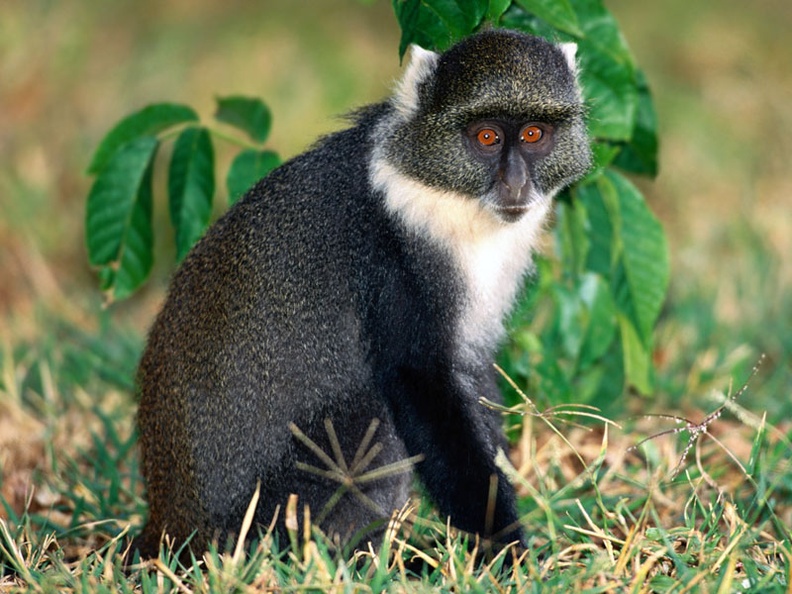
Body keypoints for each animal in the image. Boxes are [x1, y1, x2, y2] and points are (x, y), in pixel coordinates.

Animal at [132, 29, 592, 560]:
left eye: (534, 134)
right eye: (487, 137)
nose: (515, 182)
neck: (444, 195)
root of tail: (171, 527)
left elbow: (472, 377)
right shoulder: (392, 261)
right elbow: (420, 383)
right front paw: (505, 551)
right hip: (271, 509)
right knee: (376, 415)